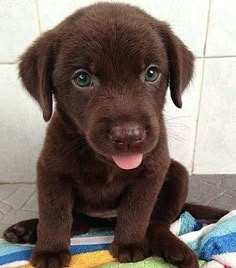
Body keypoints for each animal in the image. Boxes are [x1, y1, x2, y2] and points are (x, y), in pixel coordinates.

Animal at [2, 2, 228, 268]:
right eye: (82, 78)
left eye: (151, 74)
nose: (128, 135)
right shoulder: (51, 171)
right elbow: (55, 215)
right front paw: (50, 251)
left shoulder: (152, 171)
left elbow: (136, 213)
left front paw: (129, 245)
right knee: (77, 222)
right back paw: (27, 230)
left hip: (178, 175)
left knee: (157, 223)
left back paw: (174, 248)